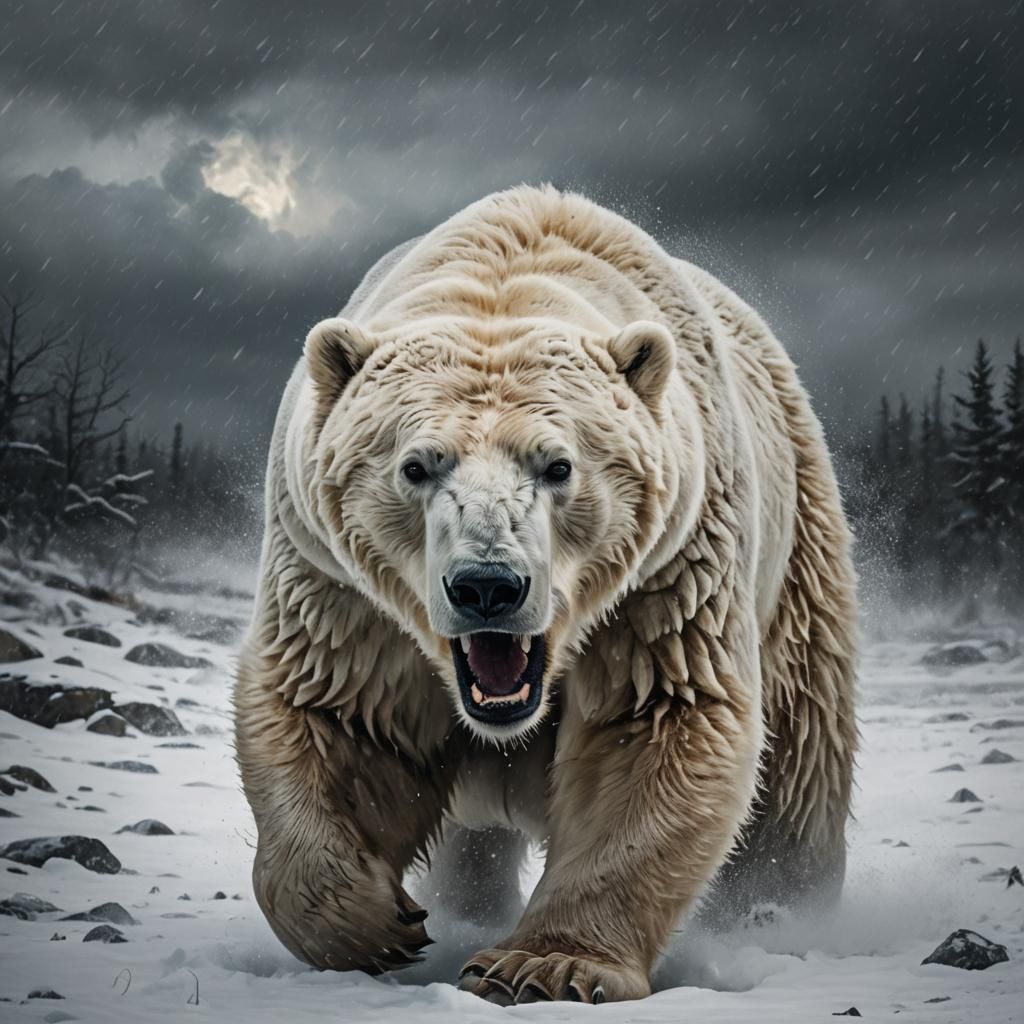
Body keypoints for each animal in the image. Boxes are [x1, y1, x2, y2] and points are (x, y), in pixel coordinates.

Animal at [233, 184, 858, 1004]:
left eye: (558, 465)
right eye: (416, 465)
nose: (487, 586)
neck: (508, 272)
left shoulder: (667, 569)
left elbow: (654, 720)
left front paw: (544, 966)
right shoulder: (340, 582)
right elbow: (338, 712)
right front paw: (370, 923)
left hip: (797, 544)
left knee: (799, 758)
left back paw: (776, 913)